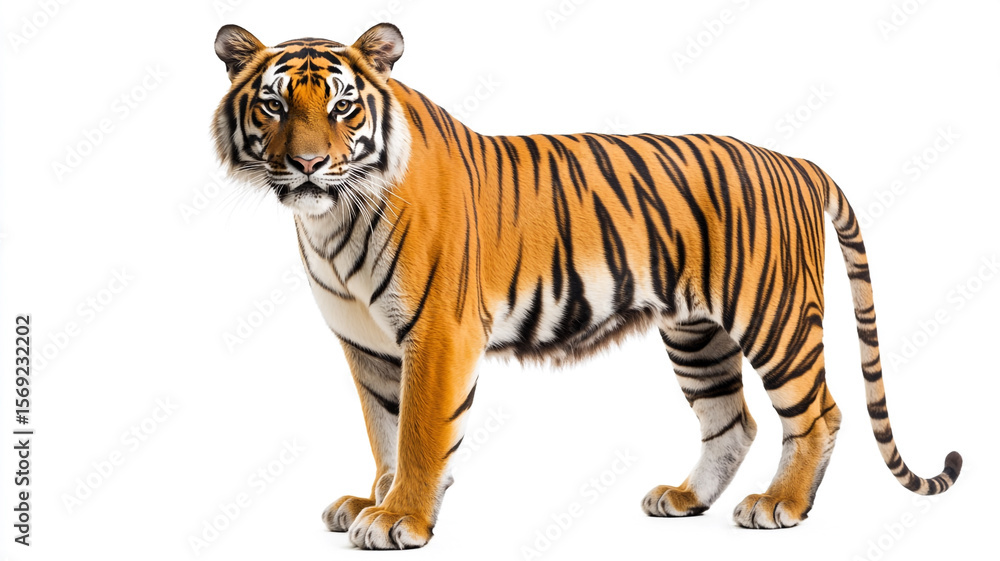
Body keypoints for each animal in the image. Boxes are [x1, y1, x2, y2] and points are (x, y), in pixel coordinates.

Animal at [212, 22, 962, 550]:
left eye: (343, 107)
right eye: (274, 104)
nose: (309, 164)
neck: (331, 218)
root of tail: (797, 162)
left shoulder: (438, 333)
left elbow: (421, 432)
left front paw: (400, 518)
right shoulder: (366, 343)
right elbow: (384, 430)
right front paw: (373, 500)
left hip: (772, 316)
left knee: (818, 413)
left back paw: (781, 505)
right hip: (696, 333)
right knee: (732, 420)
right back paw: (684, 499)